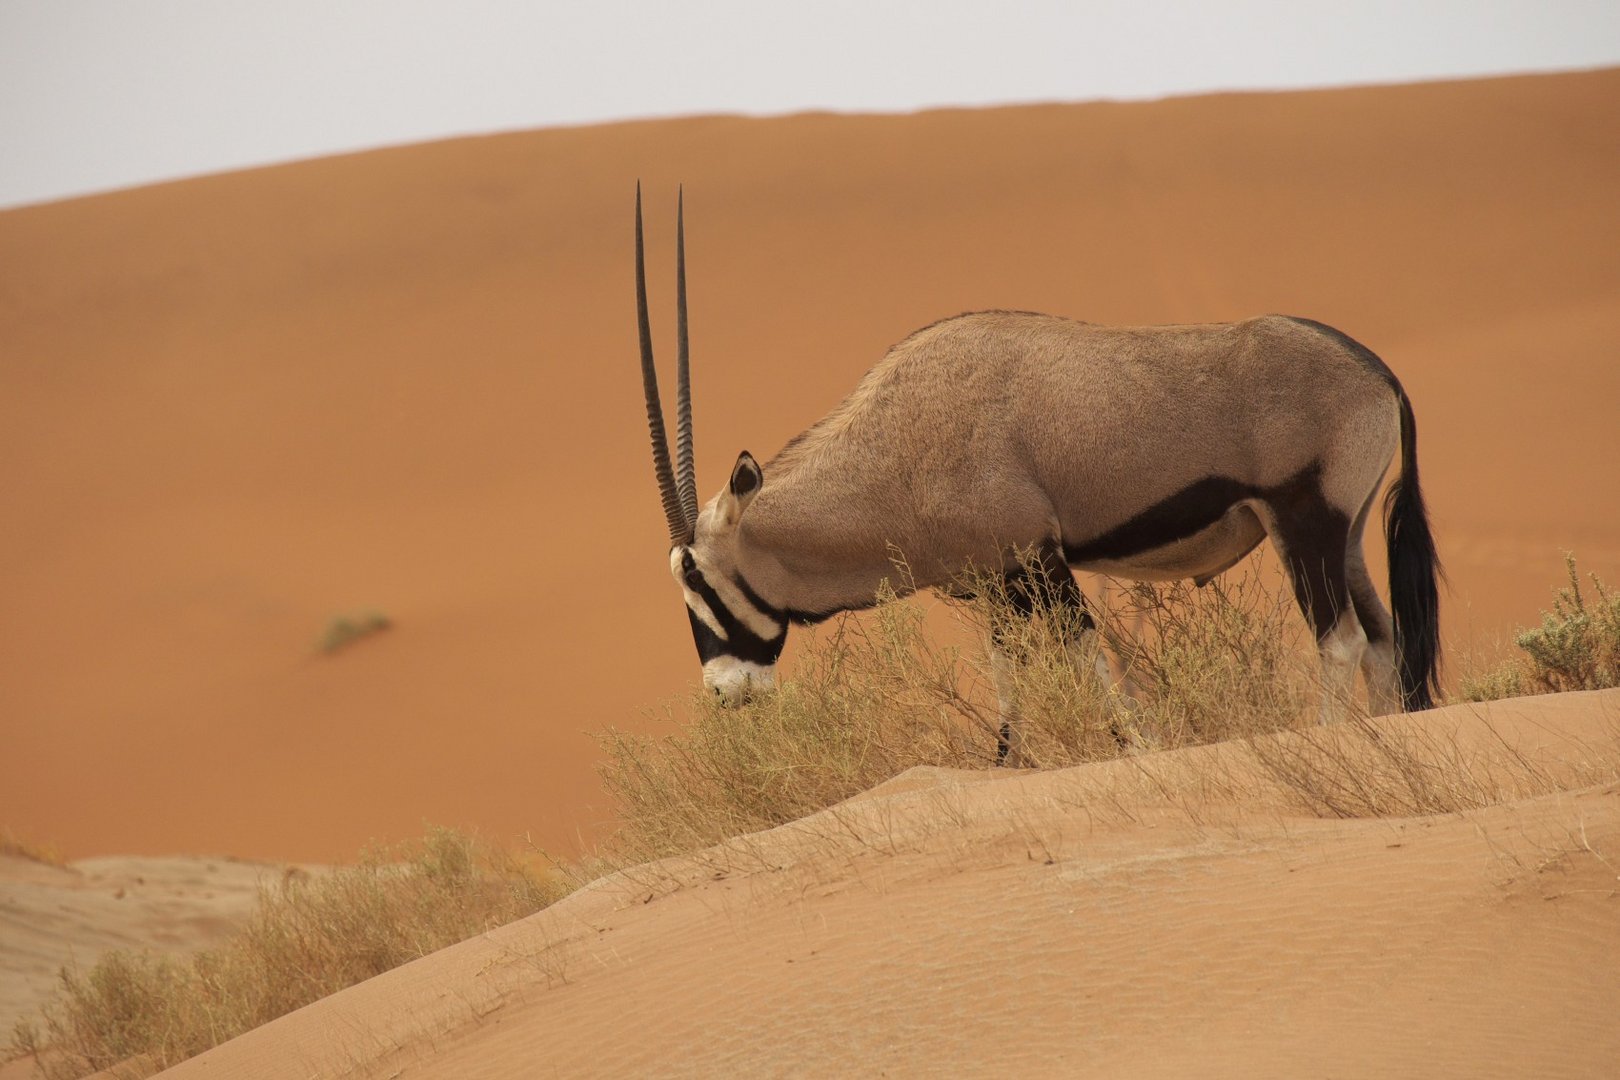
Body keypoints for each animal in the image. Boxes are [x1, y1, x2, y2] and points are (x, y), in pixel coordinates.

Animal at [631, 187, 1445, 761]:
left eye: (697, 577)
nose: (727, 693)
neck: (895, 453)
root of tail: (1376, 371)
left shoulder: (1041, 565)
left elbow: (1088, 666)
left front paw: (1135, 750)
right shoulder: (996, 586)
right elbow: (1009, 682)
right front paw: (1007, 766)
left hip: (1305, 524)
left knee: (1341, 641)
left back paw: (1329, 740)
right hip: (1344, 535)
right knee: (1382, 641)